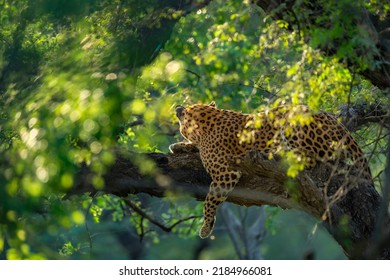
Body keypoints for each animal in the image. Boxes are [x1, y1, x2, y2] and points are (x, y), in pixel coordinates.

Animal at [170, 100, 372, 238]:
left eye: (185, 111)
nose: (178, 107)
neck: (211, 120)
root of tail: (339, 125)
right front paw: (178, 146)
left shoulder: (226, 173)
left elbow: (210, 200)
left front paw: (205, 227)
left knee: (318, 157)